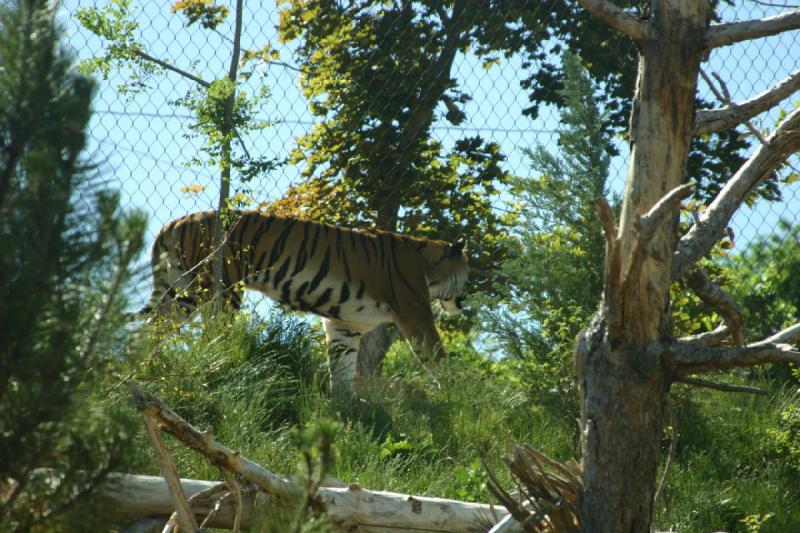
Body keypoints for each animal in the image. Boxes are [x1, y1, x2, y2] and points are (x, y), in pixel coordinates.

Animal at [142, 210, 468, 392]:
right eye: (468, 274)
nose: (466, 300)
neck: (428, 265)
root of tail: (175, 222)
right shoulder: (415, 313)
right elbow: (437, 358)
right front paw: (460, 393)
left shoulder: (345, 324)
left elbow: (342, 368)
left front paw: (346, 407)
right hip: (218, 289)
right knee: (214, 335)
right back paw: (219, 363)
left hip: (178, 292)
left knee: (151, 328)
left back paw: (146, 367)